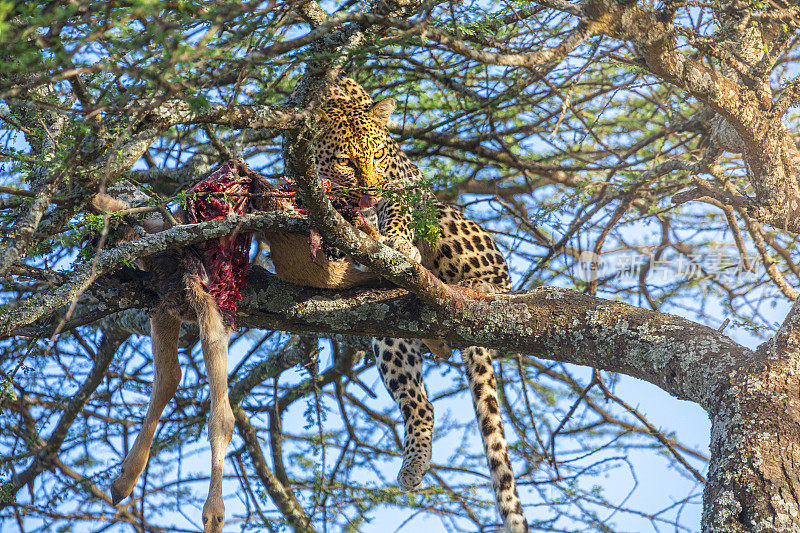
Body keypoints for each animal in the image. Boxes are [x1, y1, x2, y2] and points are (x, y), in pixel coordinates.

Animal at [314, 78, 532, 532]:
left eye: (378, 156)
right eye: (345, 160)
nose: (370, 190)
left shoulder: (404, 183)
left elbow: (397, 210)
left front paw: (397, 241)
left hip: (451, 224)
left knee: (488, 275)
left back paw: (472, 286)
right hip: (389, 334)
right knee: (422, 405)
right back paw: (413, 464)